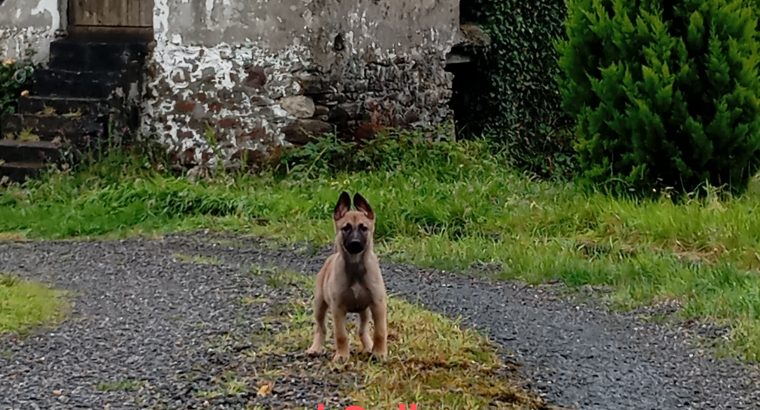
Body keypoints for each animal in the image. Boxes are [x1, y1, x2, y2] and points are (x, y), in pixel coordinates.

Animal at [304, 192, 388, 362]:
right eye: (346, 228)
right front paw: (342, 355)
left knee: (362, 330)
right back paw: (315, 348)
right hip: (319, 305)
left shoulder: (378, 304)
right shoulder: (337, 308)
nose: (355, 243)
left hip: (365, 311)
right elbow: (341, 335)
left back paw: (369, 347)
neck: (355, 267)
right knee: (321, 328)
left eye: (364, 228)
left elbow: (380, 332)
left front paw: (379, 353)